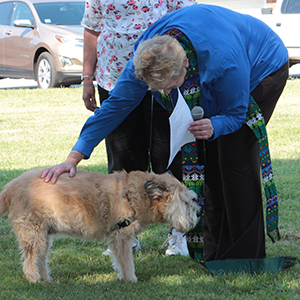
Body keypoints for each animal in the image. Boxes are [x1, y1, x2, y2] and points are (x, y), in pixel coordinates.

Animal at [0, 170, 202, 282]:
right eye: (186, 202)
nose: (200, 213)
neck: (134, 196)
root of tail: (9, 187)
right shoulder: (121, 238)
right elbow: (127, 262)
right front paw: (131, 280)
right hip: (33, 235)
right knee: (29, 262)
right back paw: (34, 281)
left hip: (43, 236)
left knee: (40, 259)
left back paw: (46, 279)